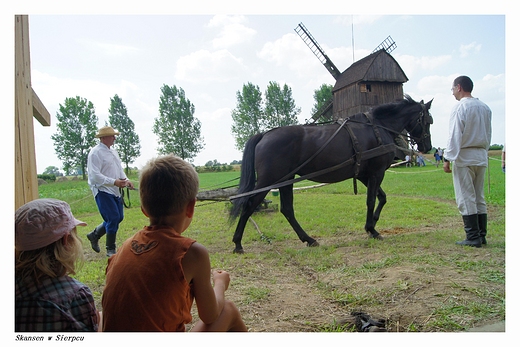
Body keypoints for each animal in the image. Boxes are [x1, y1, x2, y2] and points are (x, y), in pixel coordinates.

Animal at [230, 95, 432, 253]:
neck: (377, 128)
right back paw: (238, 243)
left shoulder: (364, 175)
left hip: (286, 180)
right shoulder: (376, 172)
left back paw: (309, 239)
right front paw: (372, 229)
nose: (427, 146)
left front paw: (373, 223)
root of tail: (264, 135)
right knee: (249, 205)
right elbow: (371, 200)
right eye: (428, 121)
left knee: (287, 209)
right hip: (270, 180)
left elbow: (382, 198)